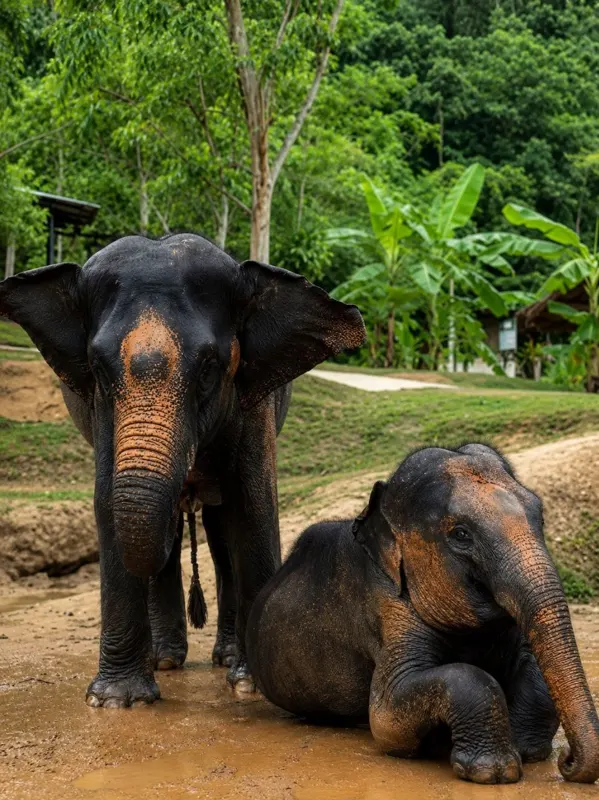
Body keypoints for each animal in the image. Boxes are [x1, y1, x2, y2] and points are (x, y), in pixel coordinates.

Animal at [0, 233, 365, 707]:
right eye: (97, 368)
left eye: (209, 368)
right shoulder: (101, 411)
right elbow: (108, 502)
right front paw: (116, 701)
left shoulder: (253, 402)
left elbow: (253, 504)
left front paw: (252, 686)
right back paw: (165, 660)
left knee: (219, 534)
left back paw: (224, 659)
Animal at [246, 443, 599, 784]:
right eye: (461, 534)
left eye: (540, 518)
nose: (567, 760)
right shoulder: (388, 608)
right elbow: (387, 717)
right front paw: (494, 772)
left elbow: (537, 670)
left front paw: (526, 751)